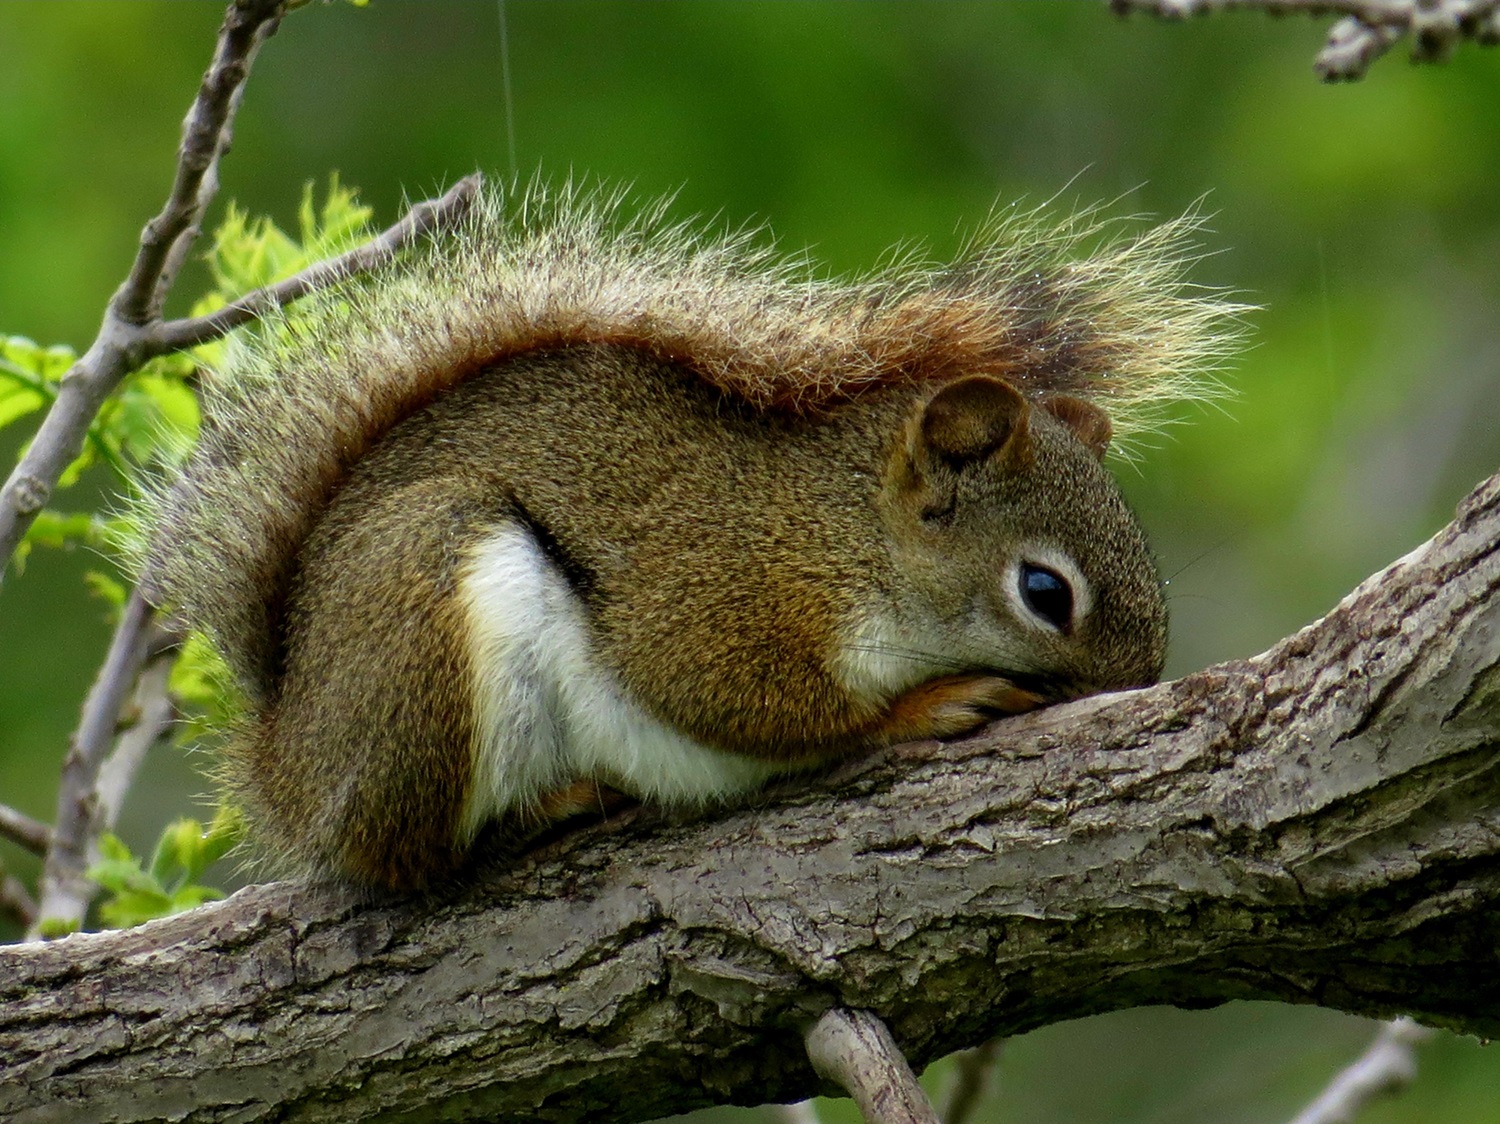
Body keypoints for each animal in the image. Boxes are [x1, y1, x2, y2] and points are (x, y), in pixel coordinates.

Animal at [141, 183, 1240, 891]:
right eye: (1047, 593)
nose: (1137, 687)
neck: (851, 534)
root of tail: (284, 757)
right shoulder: (721, 586)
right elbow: (745, 698)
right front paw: (926, 705)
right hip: (425, 603)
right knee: (406, 853)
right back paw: (554, 803)